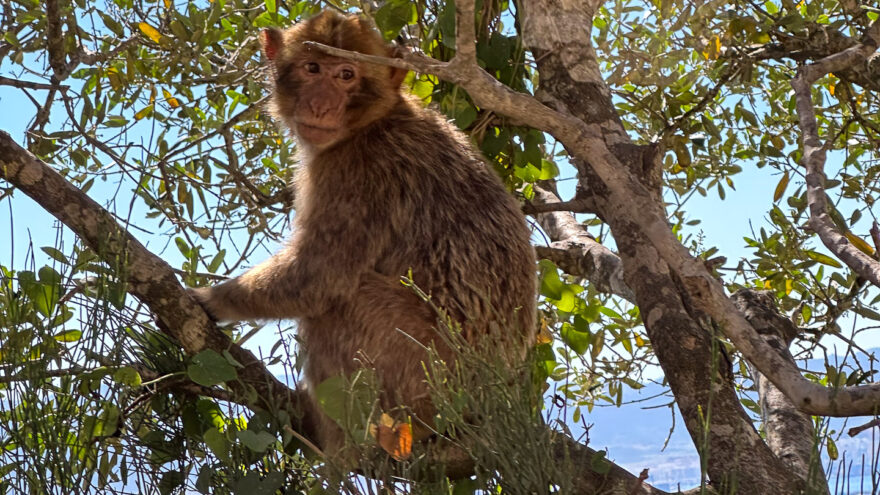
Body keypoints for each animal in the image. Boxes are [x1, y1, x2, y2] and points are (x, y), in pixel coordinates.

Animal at [191, 11, 536, 460]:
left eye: (346, 75)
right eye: (312, 68)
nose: (320, 103)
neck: (374, 121)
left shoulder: (353, 173)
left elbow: (319, 278)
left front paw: (211, 300)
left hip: (424, 373)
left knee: (343, 304)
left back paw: (341, 441)